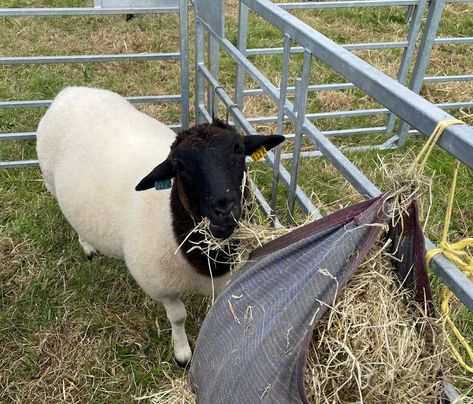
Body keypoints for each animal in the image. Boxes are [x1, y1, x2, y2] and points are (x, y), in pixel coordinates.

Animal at [36, 87, 284, 364]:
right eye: (179, 166)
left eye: (239, 150)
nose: (223, 210)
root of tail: (70, 92)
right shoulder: (161, 287)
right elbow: (178, 316)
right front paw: (182, 353)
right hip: (51, 182)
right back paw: (88, 245)